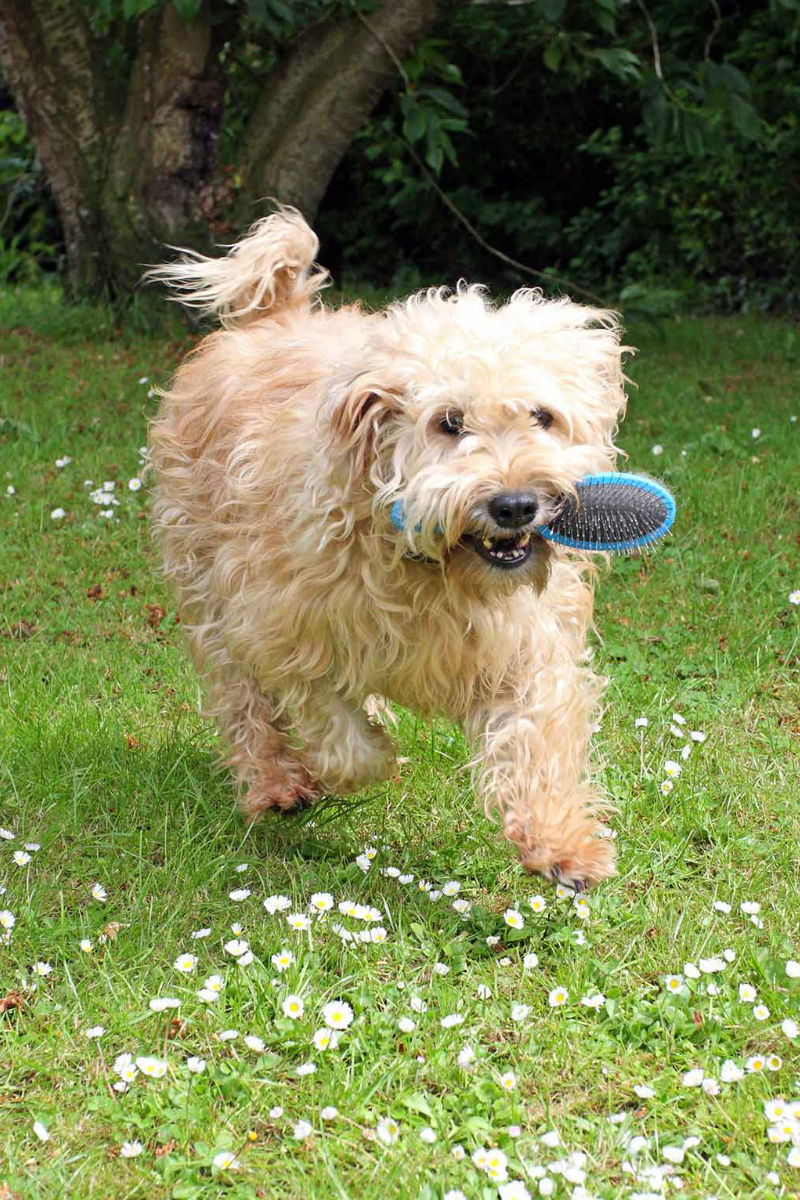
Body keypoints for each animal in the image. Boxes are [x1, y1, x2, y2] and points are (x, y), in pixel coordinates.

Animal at [146, 206, 628, 888]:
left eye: (543, 416)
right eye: (449, 422)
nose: (514, 505)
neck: (436, 571)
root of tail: (276, 316)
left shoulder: (527, 649)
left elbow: (534, 738)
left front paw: (563, 844)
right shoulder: (278, 627)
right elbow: (338, 732)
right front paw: (365, 757)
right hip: (205, 584)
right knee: (243, 703)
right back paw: (276, 784)